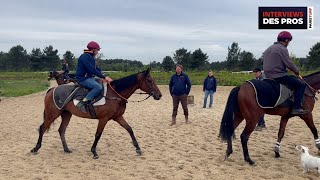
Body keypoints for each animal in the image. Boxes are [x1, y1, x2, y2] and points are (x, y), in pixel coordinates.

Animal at [31, 69, 162, 159]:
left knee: (61, 130)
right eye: (149, 80)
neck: (114, 94)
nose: (159, 95)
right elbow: (98, 134)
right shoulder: (103, 119)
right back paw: (35, 148)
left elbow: (129, 129)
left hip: (66, 114)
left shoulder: (118, 117)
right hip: (52, 114)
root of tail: (51, 90)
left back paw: (66, 149)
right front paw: (94, 151)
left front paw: (138, 148)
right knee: (42, 128)